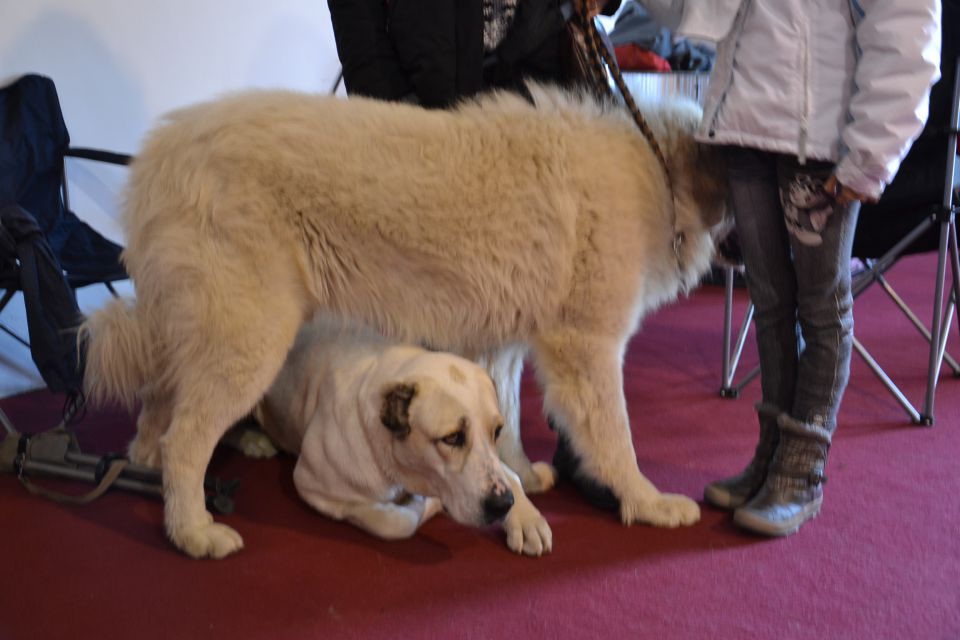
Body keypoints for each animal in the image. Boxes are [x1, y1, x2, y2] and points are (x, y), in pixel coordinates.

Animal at [251, 318, 552, 556]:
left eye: (497, 431)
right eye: (452, 438)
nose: (502, 505)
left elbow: (509, 473)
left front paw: (526, 518)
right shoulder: (312, 485)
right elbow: (397, 523)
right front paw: (423, 504)